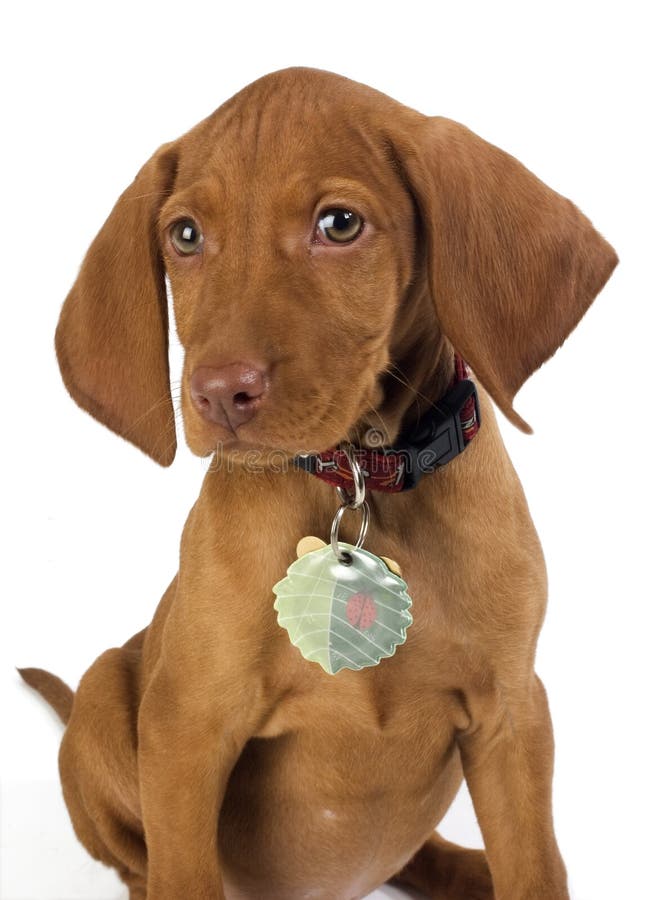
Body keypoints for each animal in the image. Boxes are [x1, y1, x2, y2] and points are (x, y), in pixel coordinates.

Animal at [21, 70, 616, 900]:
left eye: (339, 225)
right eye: (184, 236)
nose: (217, 395)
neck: (362, 479)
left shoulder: (513, 715)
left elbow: (535, 868)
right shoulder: (186, 725)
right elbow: (181, 869)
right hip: (109, 686)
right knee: (140, 861)